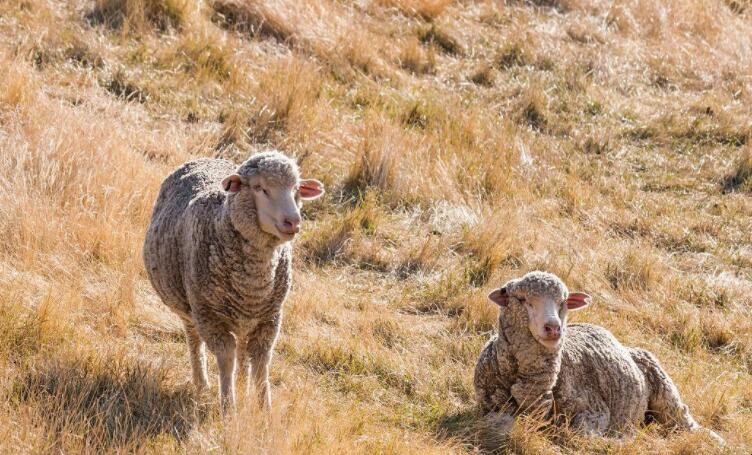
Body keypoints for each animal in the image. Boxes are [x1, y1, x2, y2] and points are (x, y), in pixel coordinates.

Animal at [144, 151, 324, 412]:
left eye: (296, 189)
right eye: (259, 188)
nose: (293, 222)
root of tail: (204, 157)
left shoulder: (270, 318)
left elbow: (261, 361)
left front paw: (264, 409)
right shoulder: (209, 316)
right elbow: (226, 358)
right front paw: (228, 407)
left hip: (243, 317)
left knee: (243, 349)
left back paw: (241, 382)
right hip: (190, 308)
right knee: (195, 340)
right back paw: (202, 382)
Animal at [472, 270, 720, 442]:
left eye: (563, 303)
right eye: (523, 300)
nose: (553, 328)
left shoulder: (595, 409)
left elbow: (583, 436)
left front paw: (619, 439)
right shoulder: (489, 405)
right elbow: (497, 424)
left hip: (665, 392)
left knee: (681, 419)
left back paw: (712, 439)